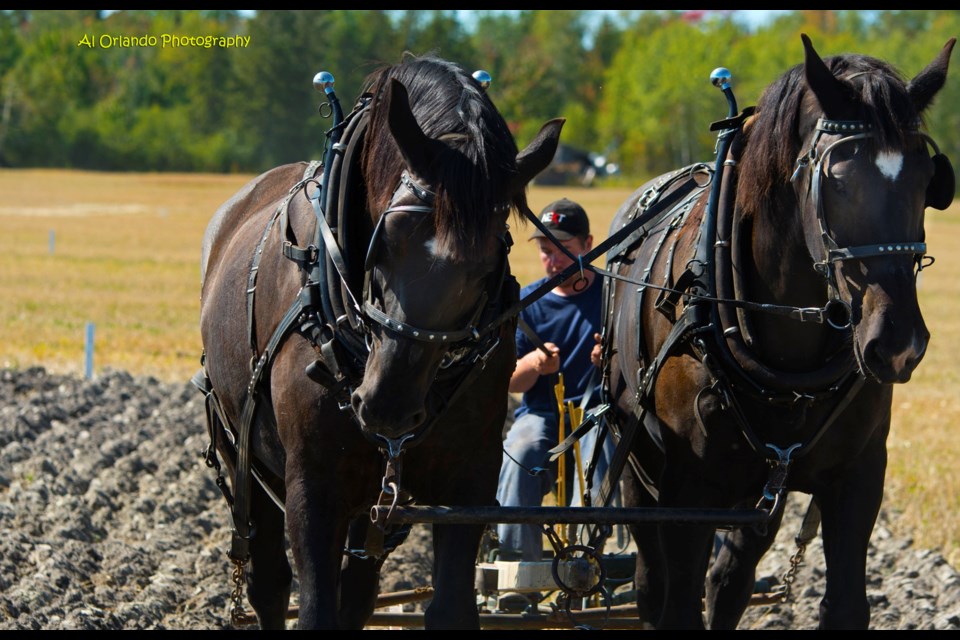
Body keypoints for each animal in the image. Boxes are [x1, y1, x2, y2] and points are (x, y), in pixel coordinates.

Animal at [199, 56, 568, 632]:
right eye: (386, 240)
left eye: (489, 263)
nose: (387, 406)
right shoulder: (314, 487)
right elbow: (315, 607)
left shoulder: (469, 483)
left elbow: (449, 605)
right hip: (243, 456)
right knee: (270, 582)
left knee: (358, 588)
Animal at [600, 32, 952, 628]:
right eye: (837, 178)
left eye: (928, 180)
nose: (897, 343)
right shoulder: (685, 489)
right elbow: (677, 603)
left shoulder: (858, 477)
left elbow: (845, 604)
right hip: (639, 465)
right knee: (653, 587)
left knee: (730, 579)